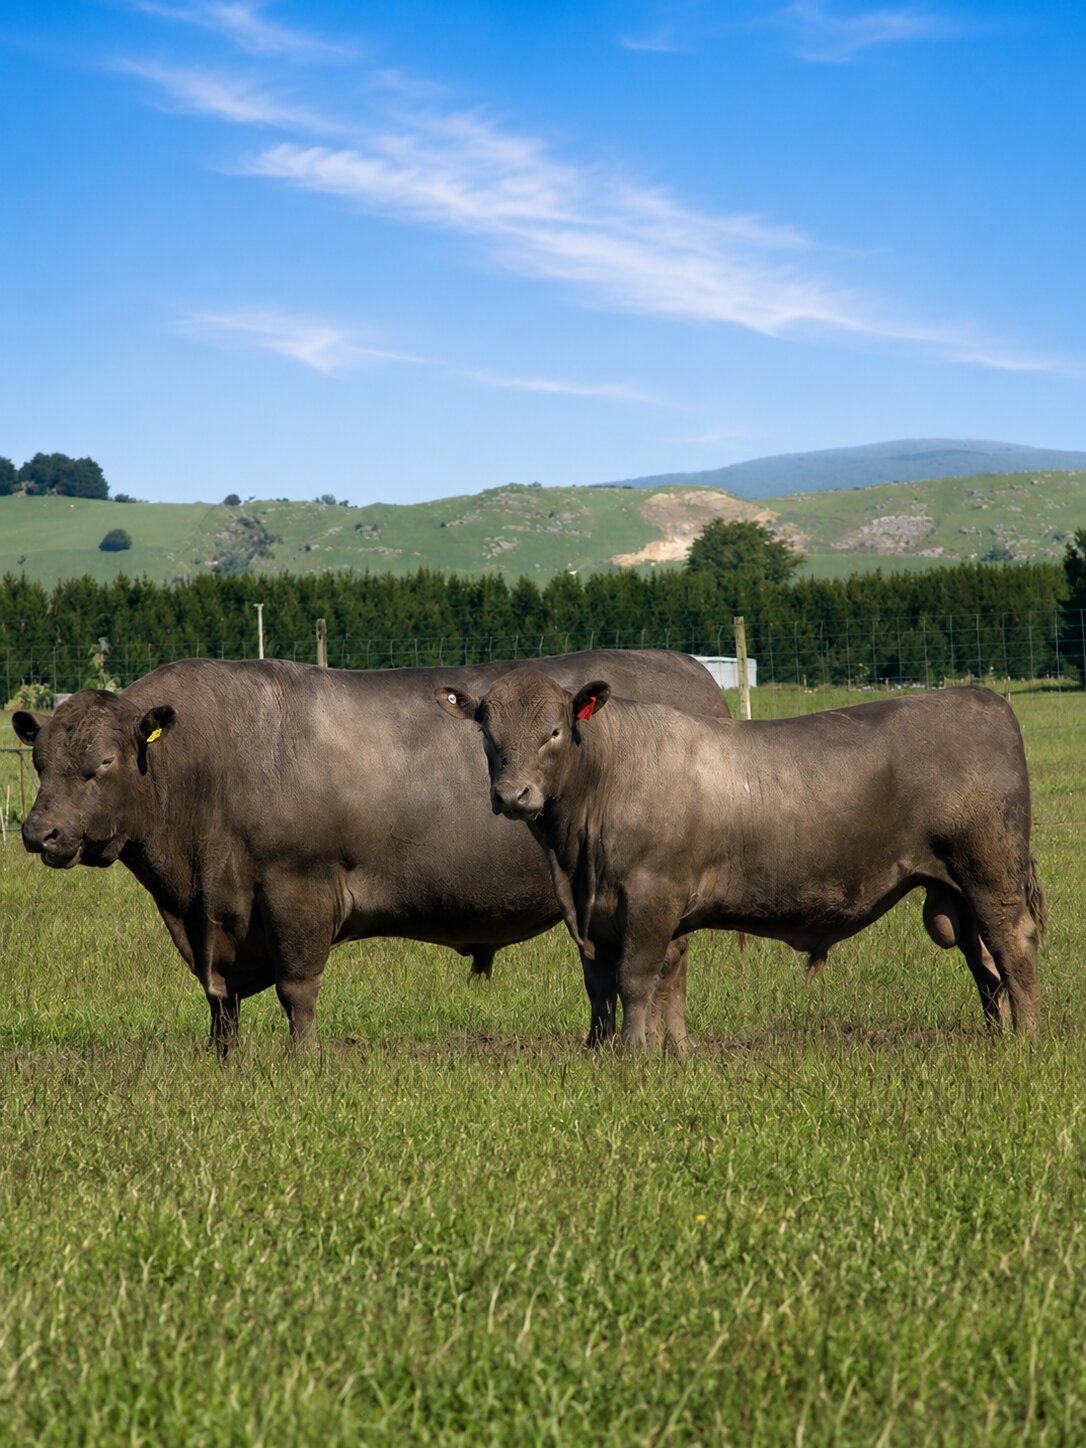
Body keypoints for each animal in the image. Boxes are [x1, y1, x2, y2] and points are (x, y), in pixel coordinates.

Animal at [13, 650, 728, 1051]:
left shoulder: (296, 887)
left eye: (104, 763)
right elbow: (220, 1004)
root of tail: (693, 671)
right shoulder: (210, 919)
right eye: (41, 759)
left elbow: (297, 988)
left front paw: (305, 1062)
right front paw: (224, 1060)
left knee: (662, 967)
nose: (38, 832)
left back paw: (664, 1049)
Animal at [435, 672, 1046, 1046]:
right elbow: (617, 982)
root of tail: (981, 697)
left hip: (990, 871)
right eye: (487, 733)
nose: (513, 795)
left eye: (555, 731)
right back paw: (998, 1035)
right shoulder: (601, 910)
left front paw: (632, 1053)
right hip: (956, 889)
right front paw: (632, 1049)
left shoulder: (650, 897)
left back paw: (1028, 1038)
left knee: (1011, 944)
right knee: (983, 962)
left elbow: (636, 978)